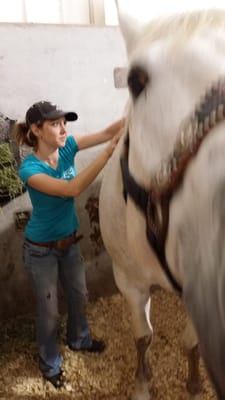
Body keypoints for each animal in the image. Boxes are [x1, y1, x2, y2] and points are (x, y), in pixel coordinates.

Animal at [100, 3, 225, 400]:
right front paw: (142, 384)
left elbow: (192, 343)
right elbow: (143, 338)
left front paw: (194, 383)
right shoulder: (127, 280)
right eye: (135, 81)